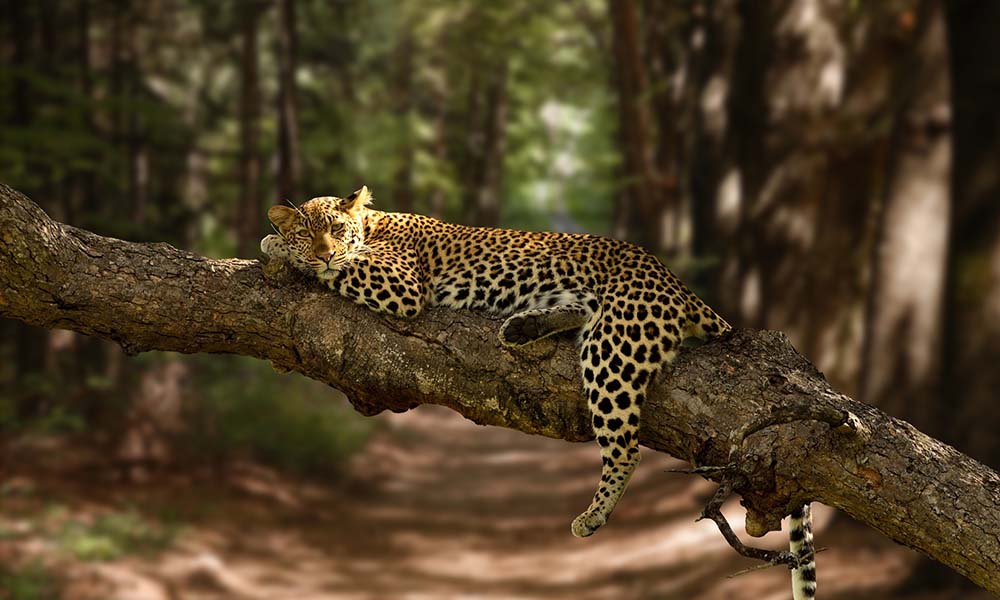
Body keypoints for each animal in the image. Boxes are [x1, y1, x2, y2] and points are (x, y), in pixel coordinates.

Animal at [260, 186, 816, 600]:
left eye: (336, 231)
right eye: (311, 232)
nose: (324, 250)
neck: (374, 225)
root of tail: (673, 281)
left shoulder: (400, 283)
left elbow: (341, 269)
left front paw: (276, 248)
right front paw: (282, 244)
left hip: (613, 350)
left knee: (626, 447)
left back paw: (593, 515)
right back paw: (522, 328)